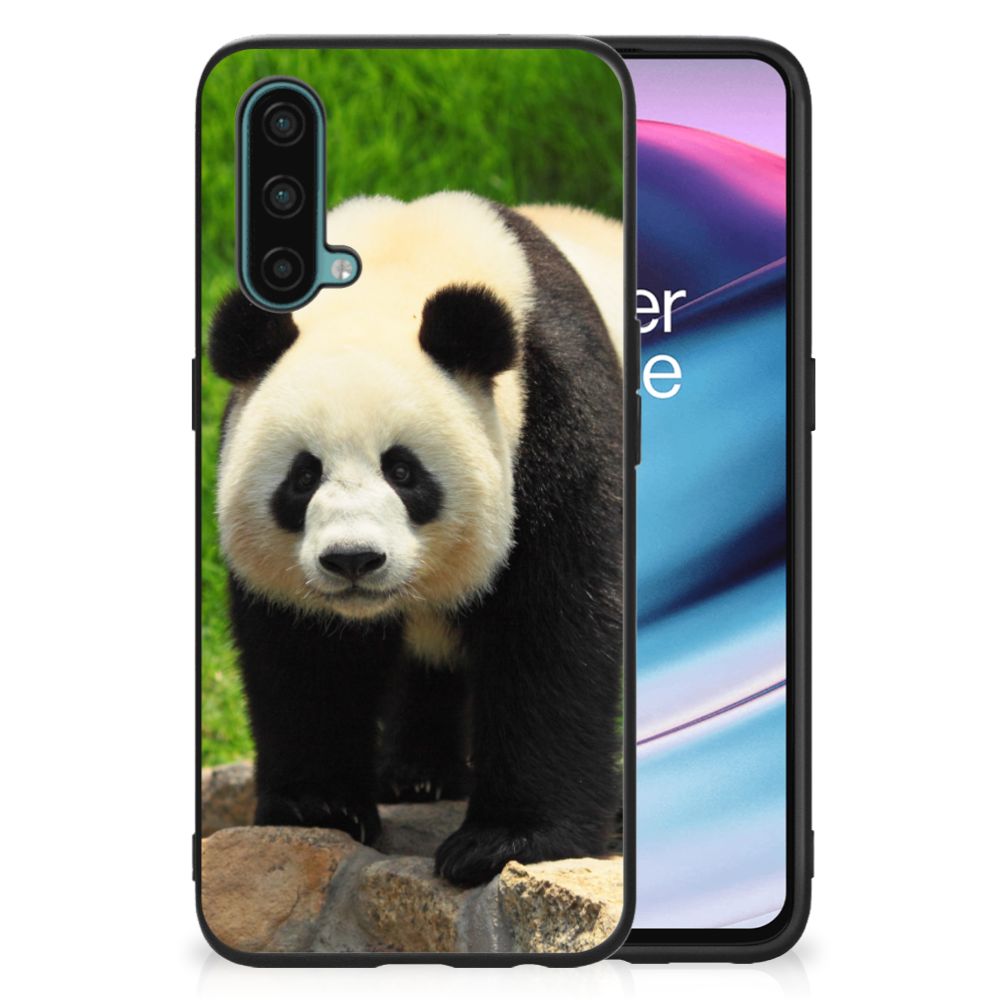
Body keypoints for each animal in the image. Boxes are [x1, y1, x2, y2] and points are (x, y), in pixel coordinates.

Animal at [208, 191, 624, 887]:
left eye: (403, 471)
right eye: (303, 476)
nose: (353, 560)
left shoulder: (557, 417)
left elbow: (555, 627)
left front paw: (505, 841)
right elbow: (304, 653)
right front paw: (318, 806)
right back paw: (417, 775)